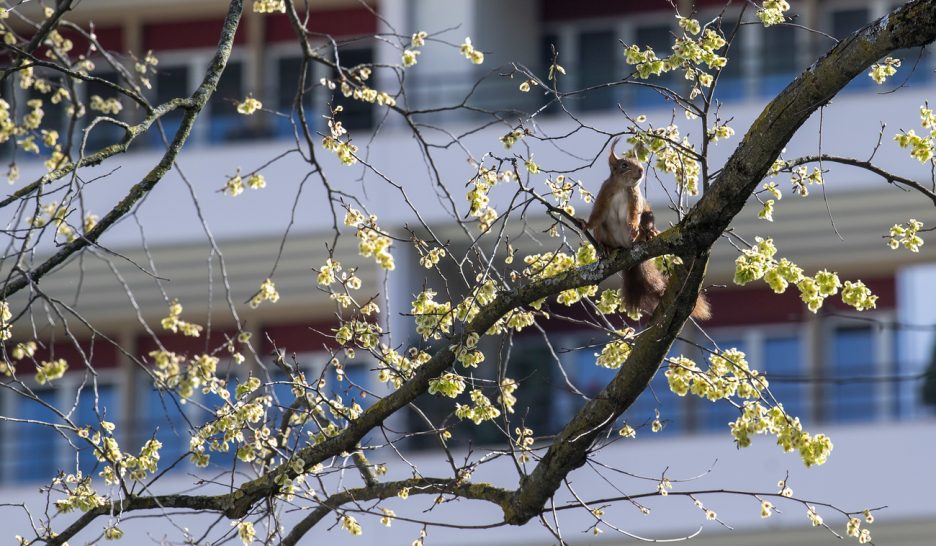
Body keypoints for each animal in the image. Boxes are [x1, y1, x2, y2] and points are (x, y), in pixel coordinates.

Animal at [584, 138, 708, 320]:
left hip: (647, 215)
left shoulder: (635, 198)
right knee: (602, 233)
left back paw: (649, 233)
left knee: (646, 222)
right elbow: (597, 215)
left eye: (638, 162)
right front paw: (585, 225)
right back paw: (605, 248)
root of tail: (626, 246)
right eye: (624, 165)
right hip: (605, 233)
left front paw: (634, 226)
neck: (622, 187)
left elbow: (635, 214)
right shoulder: (604, 194)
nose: (641, 170)